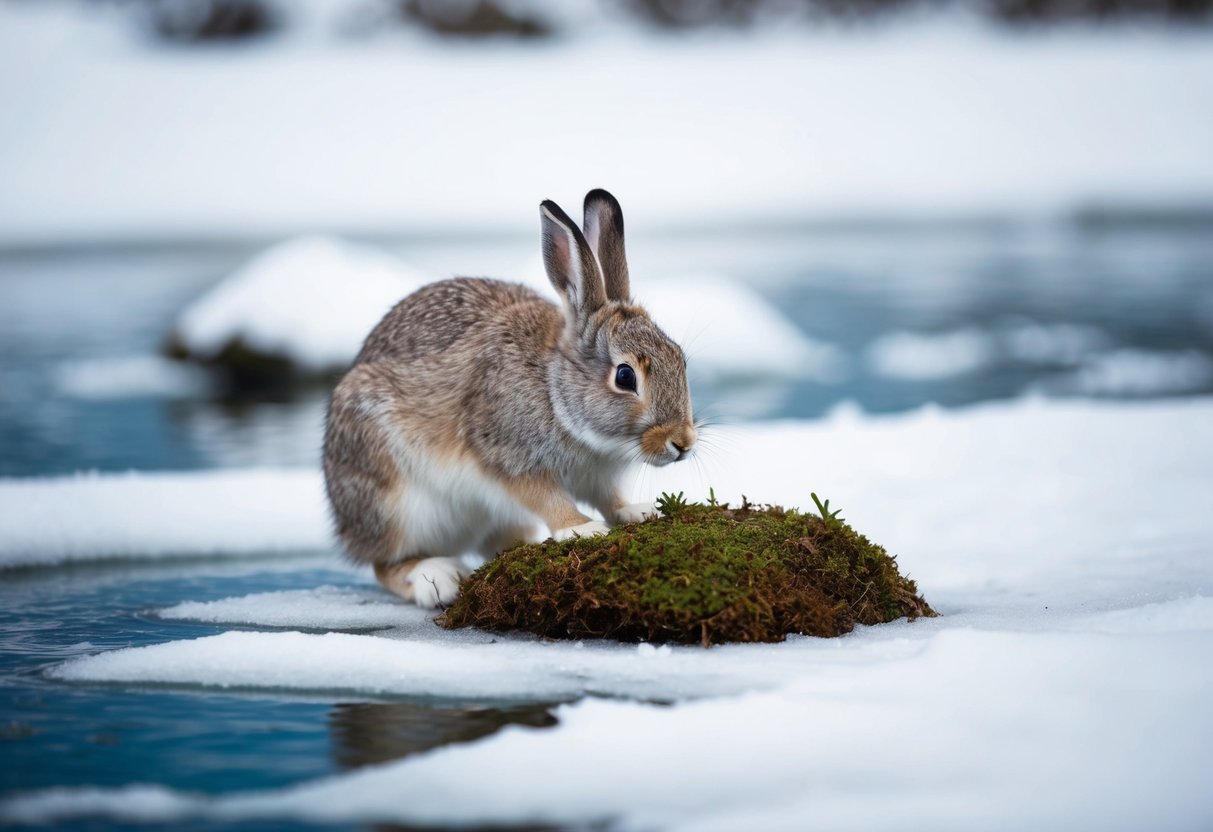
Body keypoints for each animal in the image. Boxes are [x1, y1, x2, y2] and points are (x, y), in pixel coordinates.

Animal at [322, 189, 697, 608]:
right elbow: (545, 497)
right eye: (625, 376)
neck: (552, 388)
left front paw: (637, 511)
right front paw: (582, 529)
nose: (683, 443)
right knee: (383, 563)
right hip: (395, 503)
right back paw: (435, 578)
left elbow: (610, 498)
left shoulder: (598, 476)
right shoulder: (507, 455)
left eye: (679, 358)